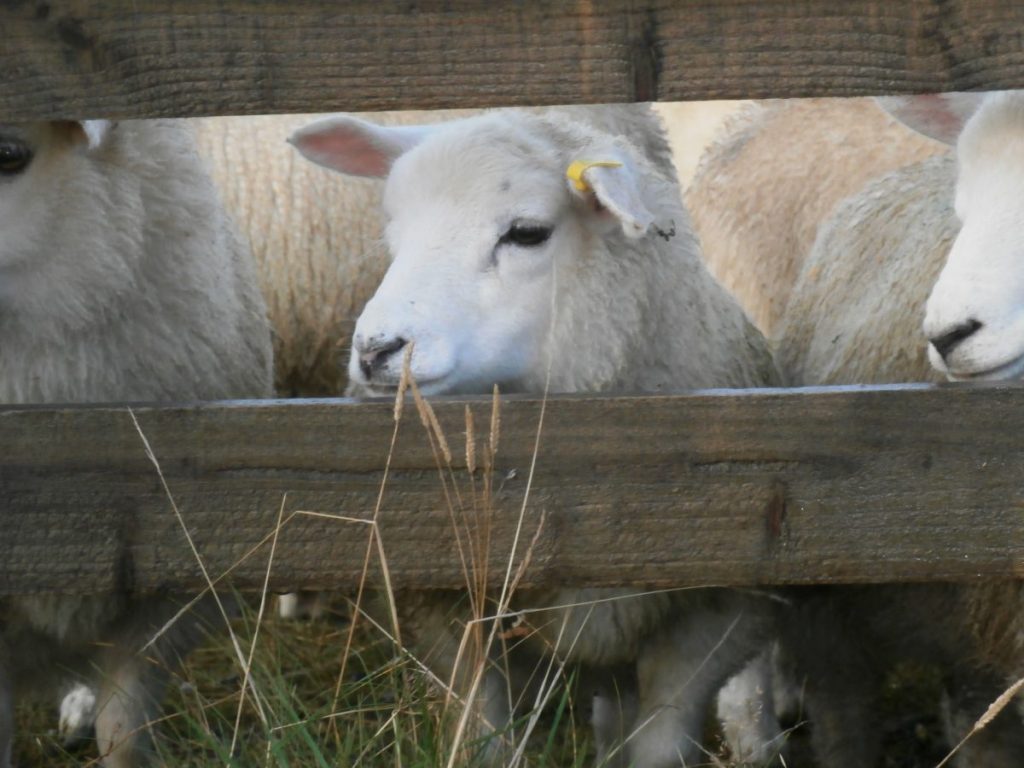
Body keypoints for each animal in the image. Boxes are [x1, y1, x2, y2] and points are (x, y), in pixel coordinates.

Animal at [289, 102, 782, 767]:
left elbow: (663, 740)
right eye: (394, 226)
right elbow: (482, 737)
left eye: (526, 233)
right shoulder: (447, 616)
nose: (374, 351)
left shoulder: (709, 621)